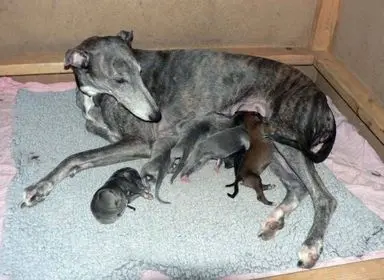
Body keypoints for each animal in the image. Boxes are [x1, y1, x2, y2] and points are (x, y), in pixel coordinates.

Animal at [22, 30, 338, 270]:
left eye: (140, 72)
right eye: (119, 79)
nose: (155, 116)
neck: (97, 96)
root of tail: (323, 100)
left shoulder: (140, 142)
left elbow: (75, 157)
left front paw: (39, 187)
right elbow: (82, 157)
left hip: (287, 139)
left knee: (324, 197)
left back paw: (310, 246)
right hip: (269, 143)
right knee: (298, 186)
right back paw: (274, 220)